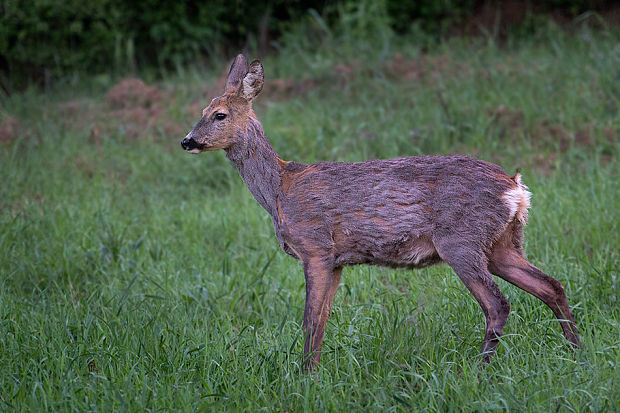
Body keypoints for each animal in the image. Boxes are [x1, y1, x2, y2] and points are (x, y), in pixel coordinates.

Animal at [180, 54, 580, 370]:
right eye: (201, 113)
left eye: (219, 115)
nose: (187, 140)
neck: (280, 190)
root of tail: (516, 188)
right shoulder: (336, 261)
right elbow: (322, 322)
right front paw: (313, 373)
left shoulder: (315, 247)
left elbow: (309, 321)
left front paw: (303, 377)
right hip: (502, 244)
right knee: (551, 285)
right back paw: (578, 355)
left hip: (462, 241)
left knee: (498, 304)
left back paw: (479, 371)